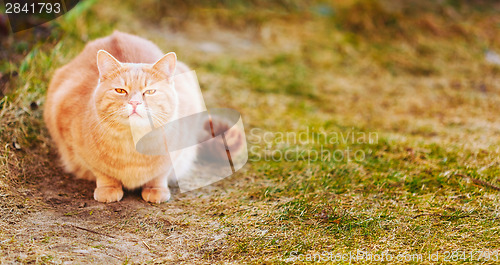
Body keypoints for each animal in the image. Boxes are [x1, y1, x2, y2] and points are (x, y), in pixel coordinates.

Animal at [43, 32, 242, 203]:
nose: (135, 102)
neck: (133, 147)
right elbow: (103, 173)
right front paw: (108, 188)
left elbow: (160, 174)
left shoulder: (175, 153)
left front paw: (155, 190)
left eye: (150, 91)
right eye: (120, 90)